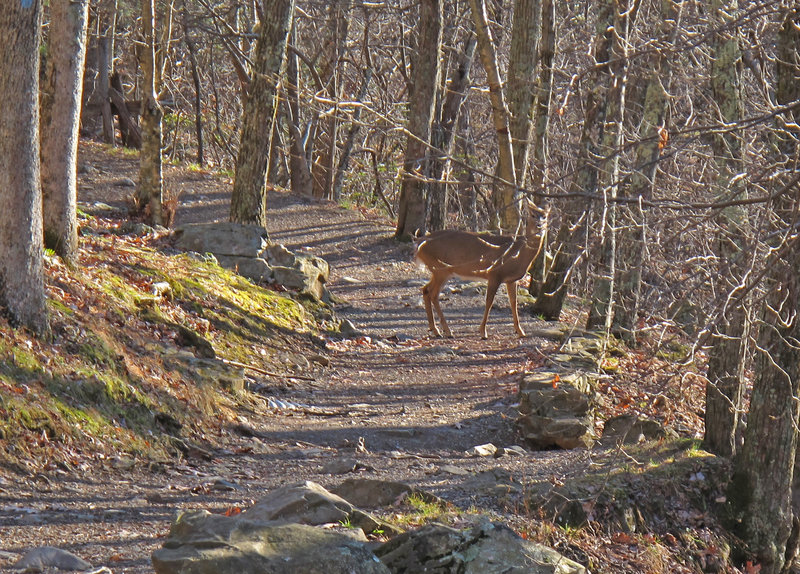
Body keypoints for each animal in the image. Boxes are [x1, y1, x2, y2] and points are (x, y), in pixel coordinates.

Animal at [412, 201, 552, 340]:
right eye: (532, 215)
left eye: (545, 216)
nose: (539, 225)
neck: (519, 253)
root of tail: (419, 243)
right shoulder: (494, 274)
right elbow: (489, 301)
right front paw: (483, 332)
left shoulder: (511, 280)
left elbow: (513, 302)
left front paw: (520, 331)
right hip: (441, 269)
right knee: (433, 293)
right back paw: (446, 330)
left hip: (440, 271)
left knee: (426, 289)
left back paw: (435, 329)